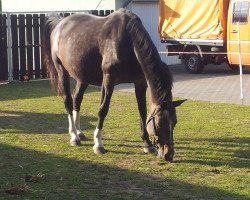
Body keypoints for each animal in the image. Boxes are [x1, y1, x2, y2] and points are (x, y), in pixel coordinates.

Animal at [43, 8, 185, 161]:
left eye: (174, 122)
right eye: (159, 123)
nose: (168, 154)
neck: (129, 42)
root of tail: (60, 24)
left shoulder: (140, 83)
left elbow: (142, 111)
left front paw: (147, 144)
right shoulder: (108, 81)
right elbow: (103, 110)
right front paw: (98, 144)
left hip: (83, 78)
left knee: (77, 100)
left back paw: (79, 132)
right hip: (61, 70)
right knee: (68, 102)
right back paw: (74, 136)